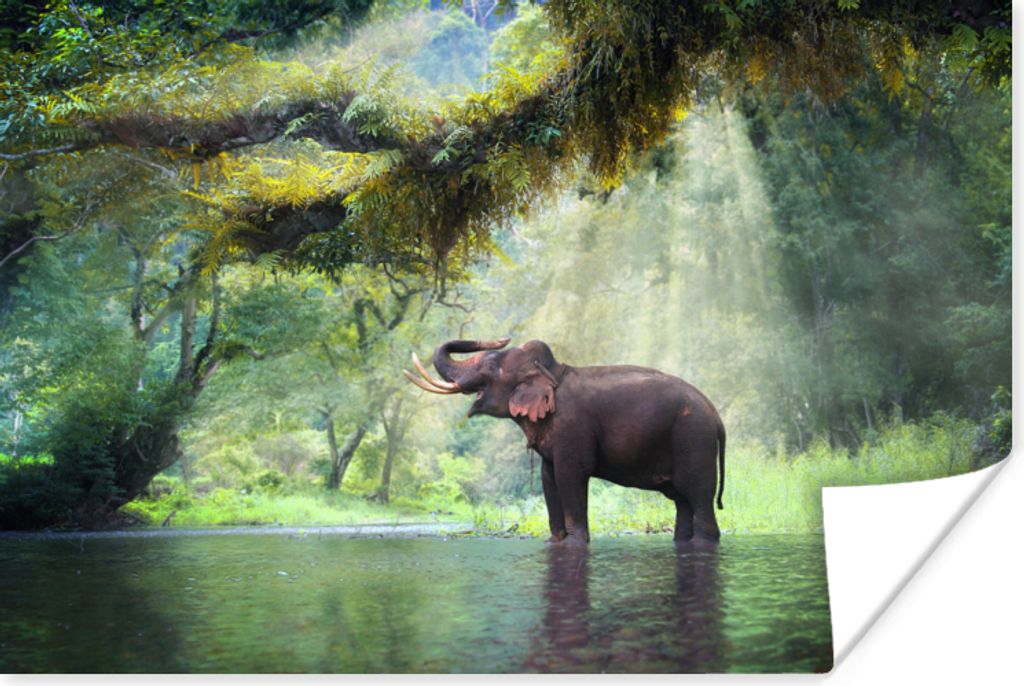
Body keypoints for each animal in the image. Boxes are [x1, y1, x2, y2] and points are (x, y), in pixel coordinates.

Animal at [403, 337, 725, 545]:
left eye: (493, 366)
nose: (500, 338)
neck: (553, 372)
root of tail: (717, 418)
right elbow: (548, 477)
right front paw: (554, 542)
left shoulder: (573, 426)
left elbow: (571, 474)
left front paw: (575, 543)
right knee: (682, 501)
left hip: (694, 439)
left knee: (698, 496)